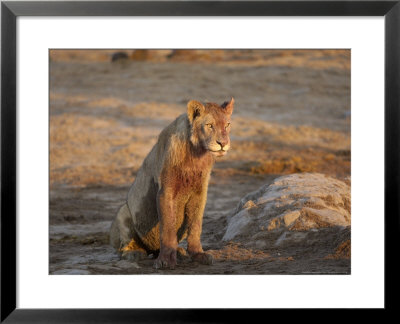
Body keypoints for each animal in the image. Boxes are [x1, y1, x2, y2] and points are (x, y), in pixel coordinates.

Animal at [109, 97, 234, 270]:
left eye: (227, 125)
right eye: (209, 125)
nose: (223, 143)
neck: (196, 155)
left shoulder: (200, 193)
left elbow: (196, 226)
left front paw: (198, 254)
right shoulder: (165, 192)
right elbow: (168, 228)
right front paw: (166, 260)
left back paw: (179, 251)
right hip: (123, 212)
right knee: (124, 248)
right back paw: (134, 253)